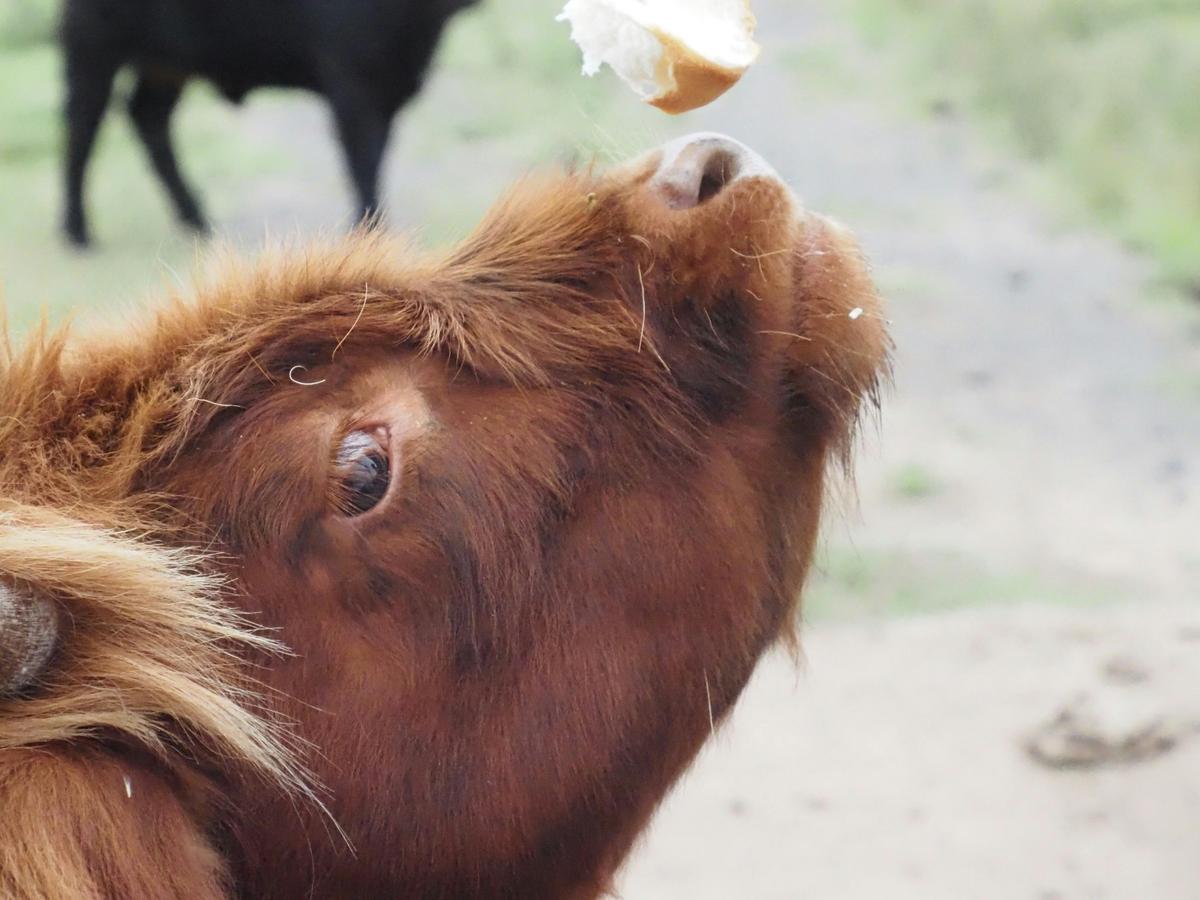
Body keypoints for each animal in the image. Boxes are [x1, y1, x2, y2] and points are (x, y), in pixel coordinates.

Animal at [60, 0, 480, 247]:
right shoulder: (352, 84)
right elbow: (364, 163)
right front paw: (369, 233)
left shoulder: (389, 86)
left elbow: (374, 162)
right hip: (94, 50)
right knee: (82, 127)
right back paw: (77, 231)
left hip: (165, 66)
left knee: (147, 116)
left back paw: (195, 218)